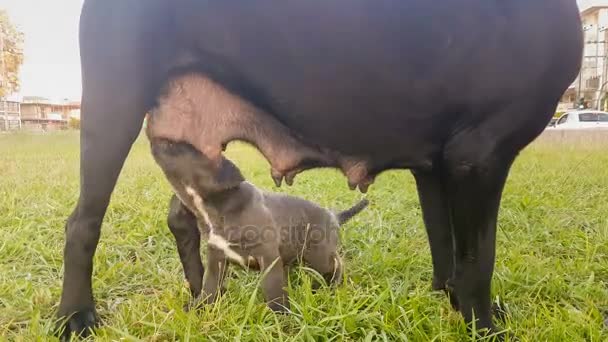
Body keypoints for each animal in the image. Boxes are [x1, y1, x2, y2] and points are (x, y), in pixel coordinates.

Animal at [151, 139, 370, 312]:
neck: (219, 205)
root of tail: (333, 215)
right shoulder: (216, 259)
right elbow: (209, 288)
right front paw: (198, 309)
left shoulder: (268, 257)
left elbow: (273, 291)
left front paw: (281, 320)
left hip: (319, 255)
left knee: (336, 263)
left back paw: (334, 286)